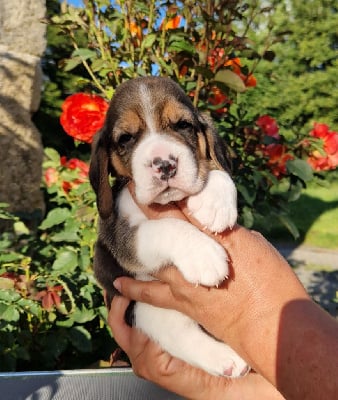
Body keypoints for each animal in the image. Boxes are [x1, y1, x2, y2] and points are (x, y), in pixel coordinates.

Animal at [89, 76, 248, 376]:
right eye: (126, 138)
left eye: (183, 125)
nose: (164, 164)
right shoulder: (122, 240)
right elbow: (166, 227)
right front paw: (203, 256)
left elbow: (217, 170)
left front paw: (214, 202)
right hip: (148, 309)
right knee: (181, 334)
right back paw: (226, 360)